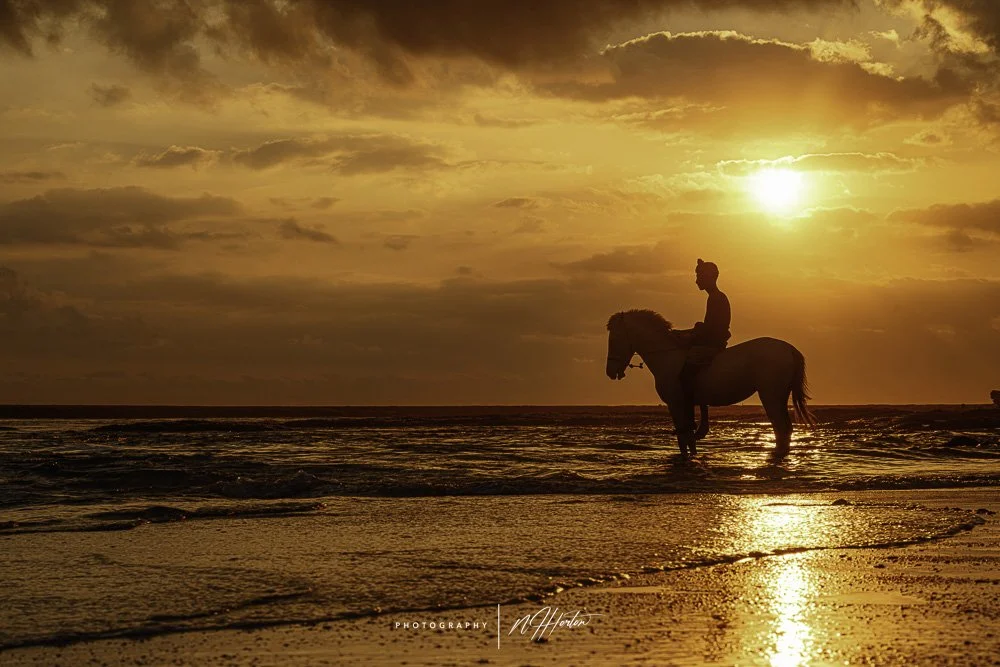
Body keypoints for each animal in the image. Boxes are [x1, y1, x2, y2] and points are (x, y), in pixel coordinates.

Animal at [605, 309, 813, 457]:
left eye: (614, 339)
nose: (610, 371)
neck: (668, 358)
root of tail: (789, 349)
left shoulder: (676, 404)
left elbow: (683, 438)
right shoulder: (687, 405)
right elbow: (689, 438)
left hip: (770, 396)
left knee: (781, 429)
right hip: (779, 396)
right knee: (785, 430)